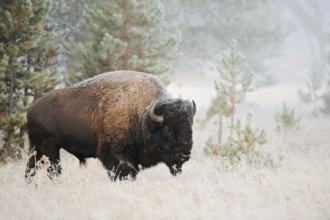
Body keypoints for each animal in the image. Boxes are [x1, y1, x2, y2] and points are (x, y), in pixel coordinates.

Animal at [26, 71, 196, 181]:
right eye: (167, 129)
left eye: (190, 126)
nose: (185, 155)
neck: (142, 115)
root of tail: (31, 108)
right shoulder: (117, 155)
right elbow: (125, 172)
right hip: (50, 148)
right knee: (53, 170)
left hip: (37, 148)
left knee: (30, 167)